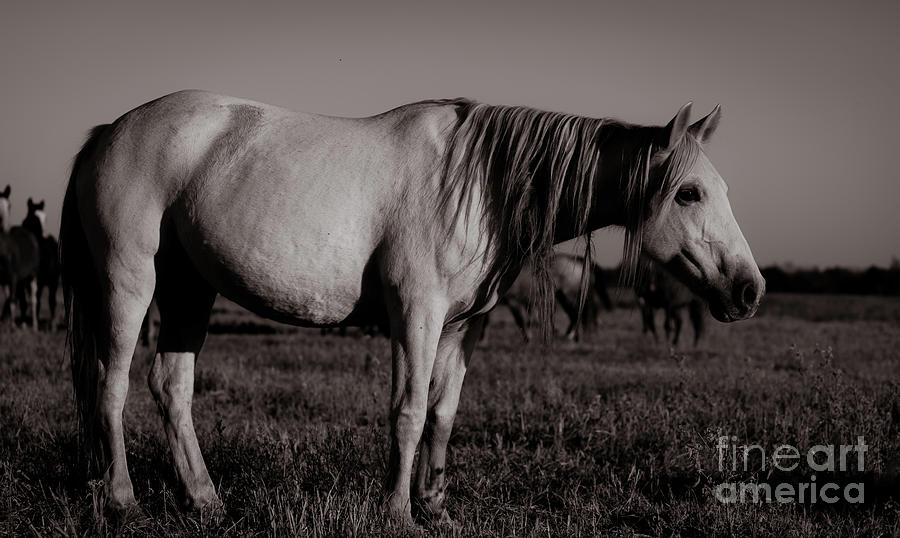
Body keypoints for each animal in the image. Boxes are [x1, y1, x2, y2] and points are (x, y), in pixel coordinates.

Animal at [61, 90, 768, 520]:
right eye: (689, 193)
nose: (749, 289)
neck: (479, 184)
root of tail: (109, 132)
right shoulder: (416, 316)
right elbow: (407, 410)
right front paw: (397, 509)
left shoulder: (463, 327)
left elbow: (444, 412)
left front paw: (436, 505)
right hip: (130, 283)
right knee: (111, 384)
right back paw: (121, 498)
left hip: (189, 290)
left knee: (170, 386)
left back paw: (204, 498)